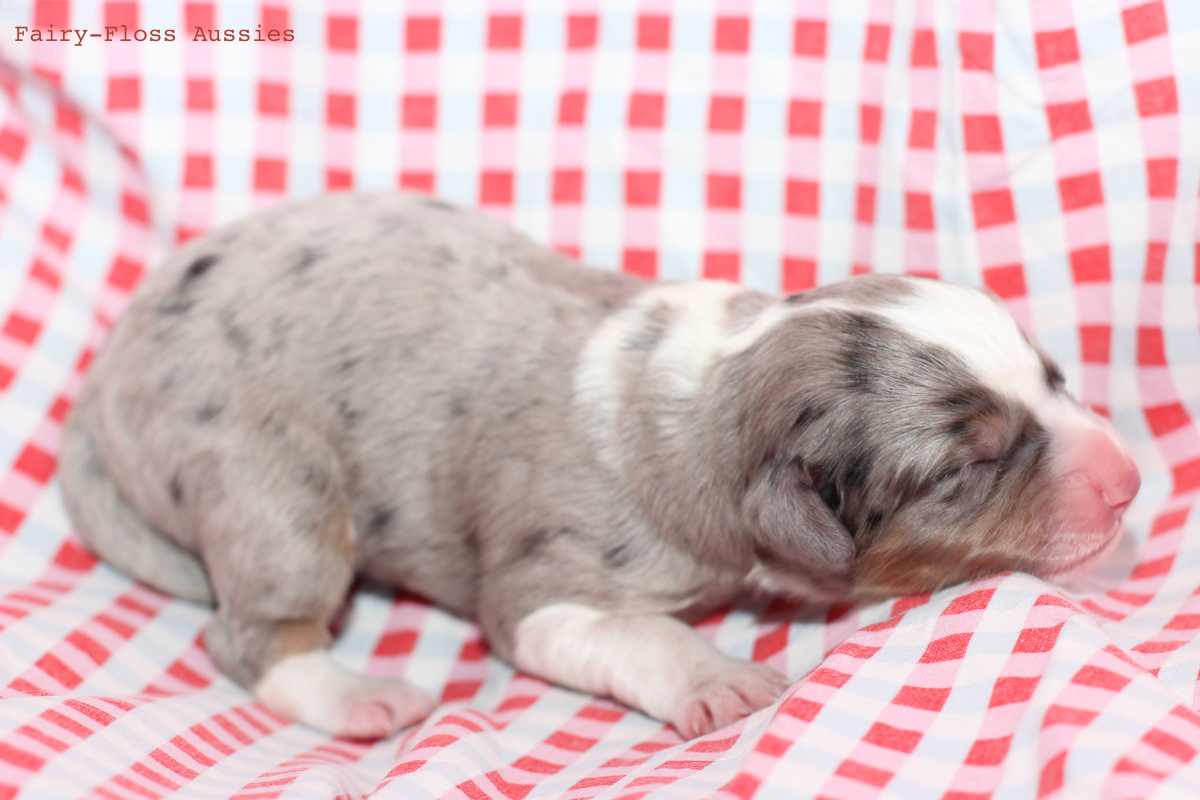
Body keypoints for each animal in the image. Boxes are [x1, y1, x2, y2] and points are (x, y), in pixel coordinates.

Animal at [58, 190, 1142, 743]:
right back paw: (359, 698)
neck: (714, 388)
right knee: (249, 633)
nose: (1131, 480)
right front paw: (720, 679)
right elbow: (630, 632)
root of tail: (105, 374)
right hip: (269, 485)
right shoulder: (542, 585)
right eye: (969, 465)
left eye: (1054, 377)